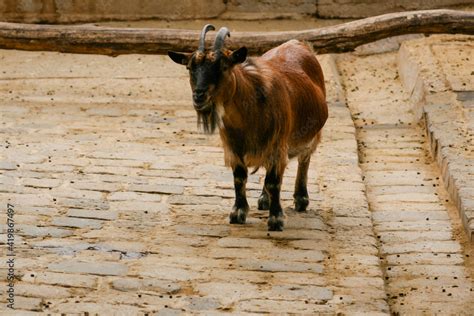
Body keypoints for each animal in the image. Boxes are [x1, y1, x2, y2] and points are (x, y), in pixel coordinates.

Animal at [168, 24, 328, 231]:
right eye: (190, 67)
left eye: (224, 66)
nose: (199, 96)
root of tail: (298, 43)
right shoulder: (232, 147)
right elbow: (239, 177)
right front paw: (238, 213)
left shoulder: (278, 143)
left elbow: (274, 181)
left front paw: (276, 219)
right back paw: (264, 199)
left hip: (312, 134)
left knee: (304, 158)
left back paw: (301, 199)